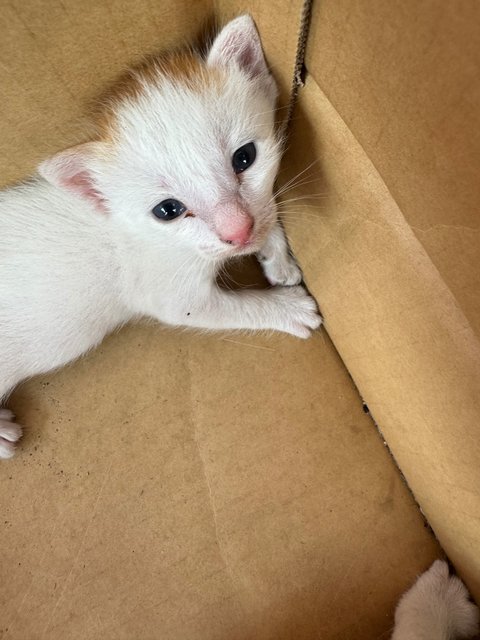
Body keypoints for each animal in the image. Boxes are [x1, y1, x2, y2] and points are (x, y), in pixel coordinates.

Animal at [0, 13, 322, 456]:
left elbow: (268, 211)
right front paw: (287, 307)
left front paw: (278, 259)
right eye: (167, 210)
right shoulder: (167, 294)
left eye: (245, 158)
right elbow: (223, 309)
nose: (237, 232)